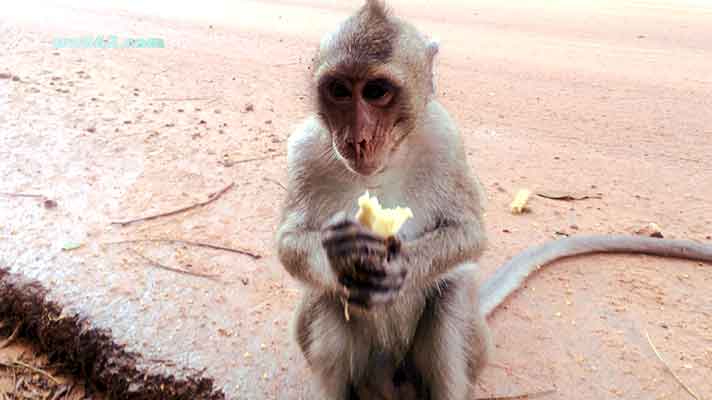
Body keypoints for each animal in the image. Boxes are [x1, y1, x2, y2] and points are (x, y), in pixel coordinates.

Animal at [274, 1, 712, 399]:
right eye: (339, 91)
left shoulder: (446, 140)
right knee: (326, 295)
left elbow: (469, 233)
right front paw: (340, 252)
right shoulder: (304, 149)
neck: (383, 166)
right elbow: (291, 245)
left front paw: (399, 265)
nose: (357, 140)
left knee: (450, 294)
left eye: (376, 92)